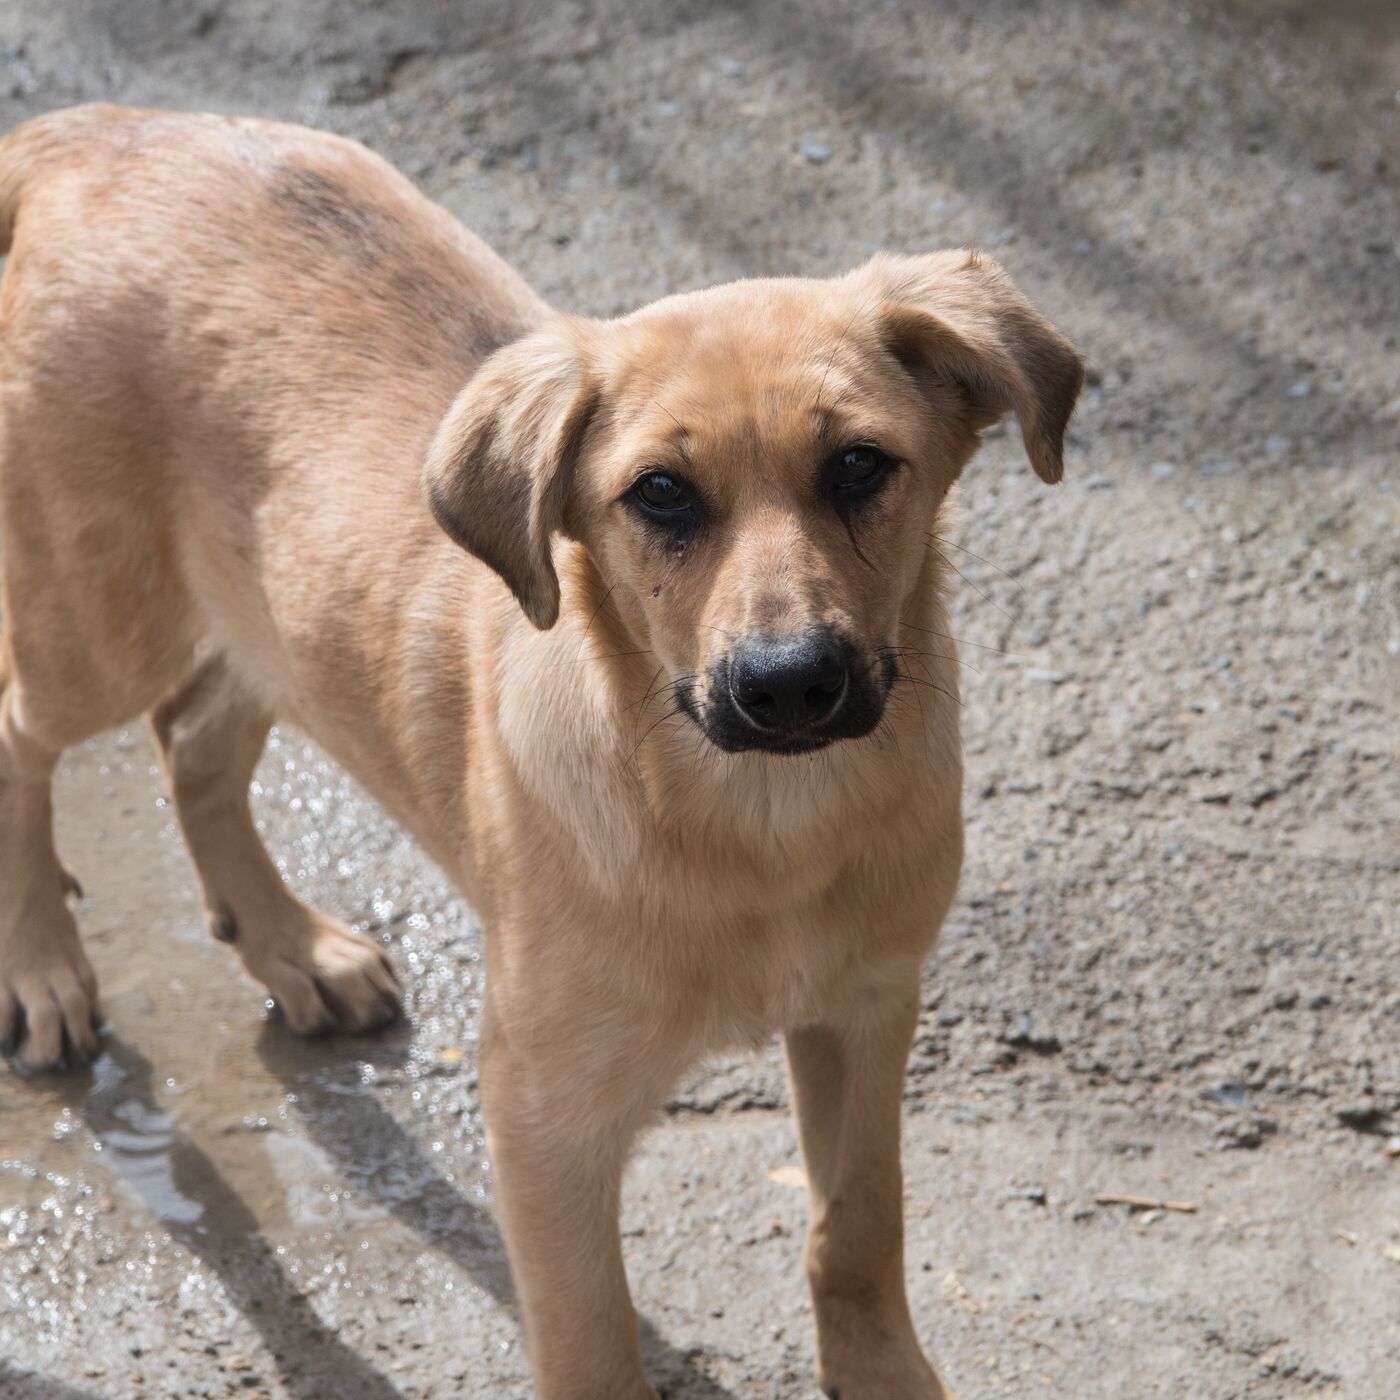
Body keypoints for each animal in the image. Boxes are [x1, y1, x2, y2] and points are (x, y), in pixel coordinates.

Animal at [0, 106, 1080, 1400]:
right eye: (659, 494)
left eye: (860, 465)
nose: (788, 684)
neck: (759, 825)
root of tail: (101, 129)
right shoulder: (542, 1114)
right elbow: (591, 1336)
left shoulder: (865, 1011)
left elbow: (855, 1226)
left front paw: (881, 1372)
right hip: (95, 621)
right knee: (23, 730)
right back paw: (43, 966)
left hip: (266, 613)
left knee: (194, 733)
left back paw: (290, 943)